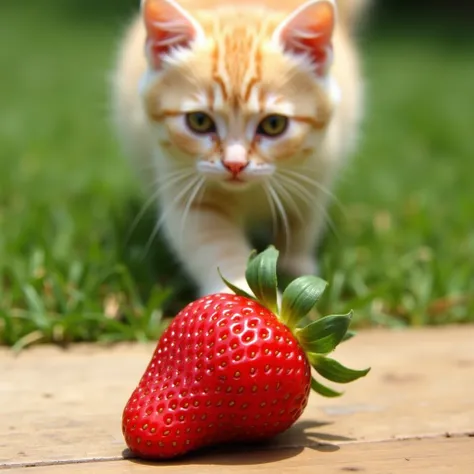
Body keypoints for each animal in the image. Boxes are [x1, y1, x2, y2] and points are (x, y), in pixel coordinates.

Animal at [112, 0, 370, 296]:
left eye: (273, 124)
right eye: (199, 121)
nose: (234, 164)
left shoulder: (317, 171)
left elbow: (302, 221)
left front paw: (296, 264)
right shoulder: (187, 189)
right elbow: (214, 244)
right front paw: (240, 289)